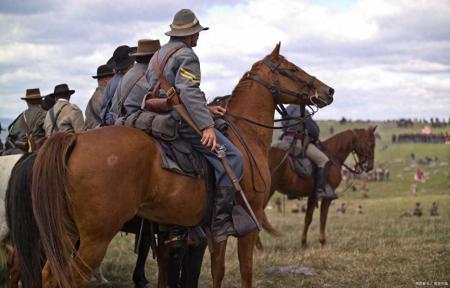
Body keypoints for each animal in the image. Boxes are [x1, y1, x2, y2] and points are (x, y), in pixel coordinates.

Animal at [31, 43, 334, 288]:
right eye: (291, 68)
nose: (328, 90)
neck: (246, 135)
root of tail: (74, 140)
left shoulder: (212, 231)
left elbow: (217, 270)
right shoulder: (250, 223)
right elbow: (245, 272)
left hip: (66, 233)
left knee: (48, 274)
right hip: (95, 239)